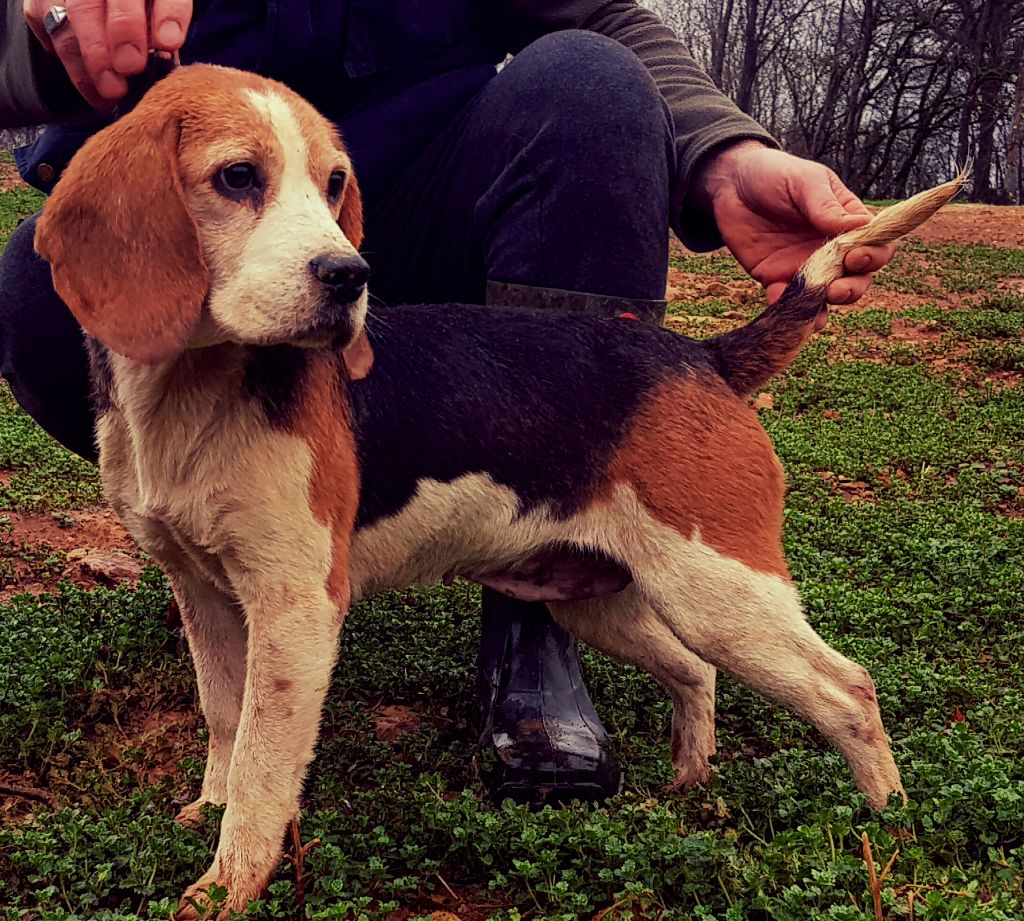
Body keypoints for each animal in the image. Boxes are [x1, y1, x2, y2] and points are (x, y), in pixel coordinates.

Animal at [32, 63, 958, 913]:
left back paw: (893, 825)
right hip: (607, 598)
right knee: (697, 673)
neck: (194, 393)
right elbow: (226, 719)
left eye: (335, 184)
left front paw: (226, 886)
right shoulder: (204, 592)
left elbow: (265, 762)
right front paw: (207, 808)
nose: (349, 275)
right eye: (236, 177)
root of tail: (705, 354)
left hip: (723, 590)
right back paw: (689, 784)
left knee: (849, 689)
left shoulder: (295, 610)